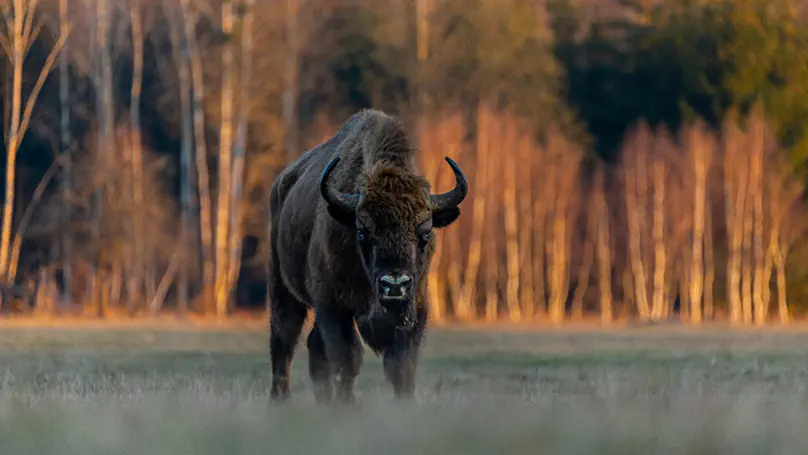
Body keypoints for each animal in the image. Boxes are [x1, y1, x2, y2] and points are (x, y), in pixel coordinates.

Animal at [267, 109, 468, 404]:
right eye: (362, 231)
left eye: (425, 231)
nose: (394, 285)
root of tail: (281, 183)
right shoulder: (333, 305)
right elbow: (346, 358)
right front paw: (347, 405)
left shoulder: (415, 309)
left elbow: (401, 365)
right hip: (282, 288)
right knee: (283, 340)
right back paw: (280, 400)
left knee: (313, 346)